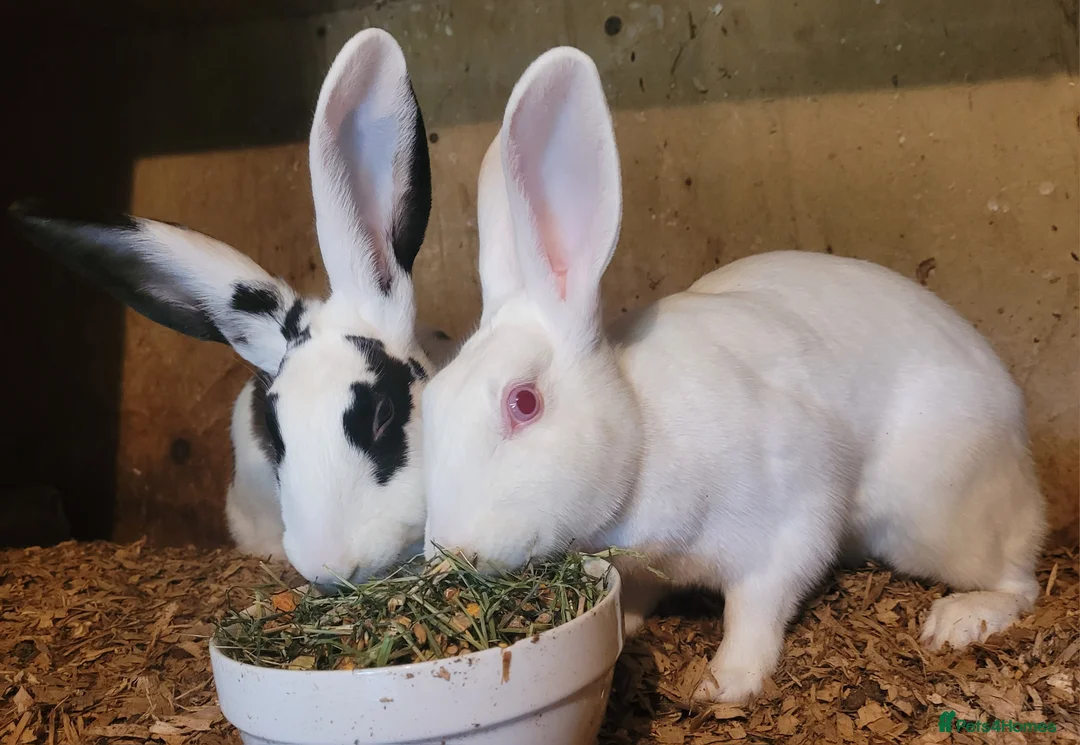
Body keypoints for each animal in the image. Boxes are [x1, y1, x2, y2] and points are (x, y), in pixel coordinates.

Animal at [419, 46, 1047, 705]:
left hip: (940, 513)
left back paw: (960, 620)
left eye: (524, 402)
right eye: (429, 401)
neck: (642, 436)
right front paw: (636, 628)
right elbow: (639, 593)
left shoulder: (791, 520)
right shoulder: (645, 568)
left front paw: (723, 684)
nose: (451, 554)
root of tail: (1018, 431)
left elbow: (757, 607)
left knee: (1018, 579)